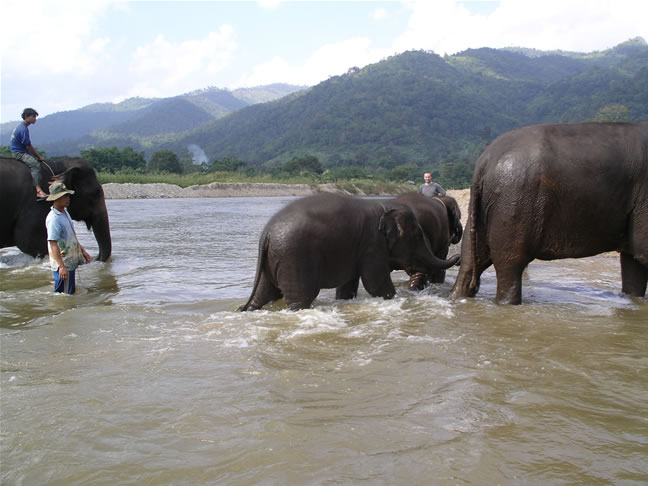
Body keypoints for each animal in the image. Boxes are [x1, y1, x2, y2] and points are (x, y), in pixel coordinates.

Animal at [239, 193, 460, 311]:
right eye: (417, 235)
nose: (458, 257)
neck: (385, 204)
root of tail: (266, 234)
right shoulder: (373, 243)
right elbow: (375, 283)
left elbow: (348, 286)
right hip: (294, 259)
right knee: (300, 299)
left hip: (273, 259)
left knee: (264, 294)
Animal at [451, 121, 648, 304]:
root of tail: (484, 162)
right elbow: (642, 253)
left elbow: (633, 261)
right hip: (514, 204)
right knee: (510, 265)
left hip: (486, 210)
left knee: (470, 262)